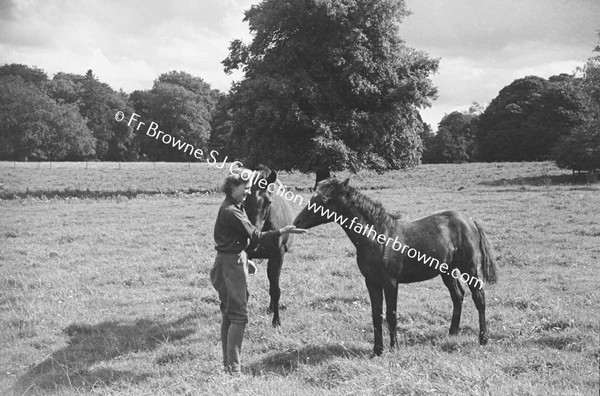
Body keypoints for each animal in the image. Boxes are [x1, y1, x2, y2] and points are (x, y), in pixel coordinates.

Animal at [243, 166, 296, 326]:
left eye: (268, 202)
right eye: (244, 200)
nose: (253, 238)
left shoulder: (278, 255)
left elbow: (275, 289)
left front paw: (276, 321)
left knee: (273, 282)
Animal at [294, 178, 496, 354]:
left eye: (324, 200)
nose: (297, 222)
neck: (377, 236)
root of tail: (470, 221)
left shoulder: (390, 282)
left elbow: (391, 314)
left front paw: (394, 347)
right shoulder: (371, 282)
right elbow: (376, 315)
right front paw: (377, 350)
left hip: (469, 268)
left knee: (479, 297)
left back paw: (483, 339)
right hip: (447, 270)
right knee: (458, 296)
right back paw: (452, 332)